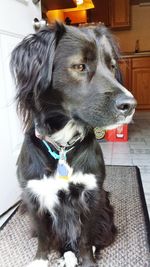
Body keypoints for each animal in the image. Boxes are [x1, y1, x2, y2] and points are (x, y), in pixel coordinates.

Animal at [10, 23, 136, 267]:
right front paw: (40, 260)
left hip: (107, 215)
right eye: (79, 66)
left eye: (112, 66)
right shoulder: (34, 197)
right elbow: (44, 237)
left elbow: (85, 239)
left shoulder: (91, 197)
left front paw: (87, 261)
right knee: (61, 244)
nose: (131, 105)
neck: (62, 146)